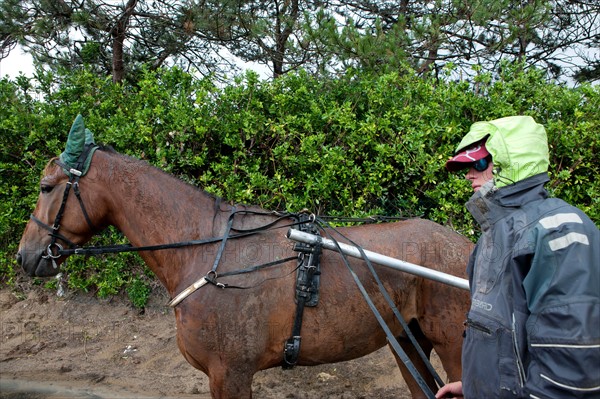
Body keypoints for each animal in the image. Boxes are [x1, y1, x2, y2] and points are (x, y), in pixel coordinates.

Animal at [15, 117, 474, 398]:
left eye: (45, 187)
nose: (25, 255)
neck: (205, 252)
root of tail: (468, 249)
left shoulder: (230, 374)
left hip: (453, 348)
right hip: (408, 341)